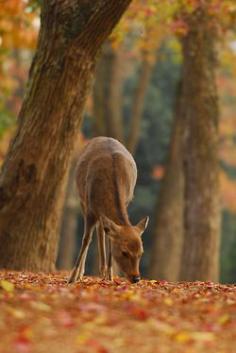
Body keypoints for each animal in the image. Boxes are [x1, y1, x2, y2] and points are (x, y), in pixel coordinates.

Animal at [67, 135, 148, 284]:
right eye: (124, 252)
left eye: (141, 253)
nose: (136, 278)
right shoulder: (89, 208)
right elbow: (86, 239)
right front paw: (72, 277)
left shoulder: (126, 201)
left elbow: (110, 237)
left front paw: (110, 276)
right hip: (82, 200)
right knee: (95, 233)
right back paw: (84, 273)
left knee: (102, 229)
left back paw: (104, 271)